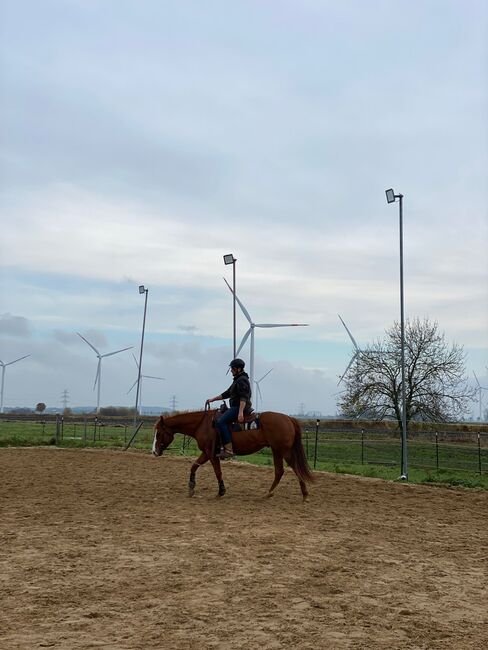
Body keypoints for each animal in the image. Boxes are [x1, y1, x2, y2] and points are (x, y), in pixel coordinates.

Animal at [152, 408, 312, 498]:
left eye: (159, 433)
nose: (154, 451)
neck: (203, 424)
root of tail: (288, 418)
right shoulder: (206, 452)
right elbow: (194, 466)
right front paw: (191, 487)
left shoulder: (211, 453)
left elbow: (218, 472)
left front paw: (221, 491)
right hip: (277, 451)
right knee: (281, 471)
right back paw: (273, 493)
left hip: (283, 451)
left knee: (293, 469)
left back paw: (300, 494)